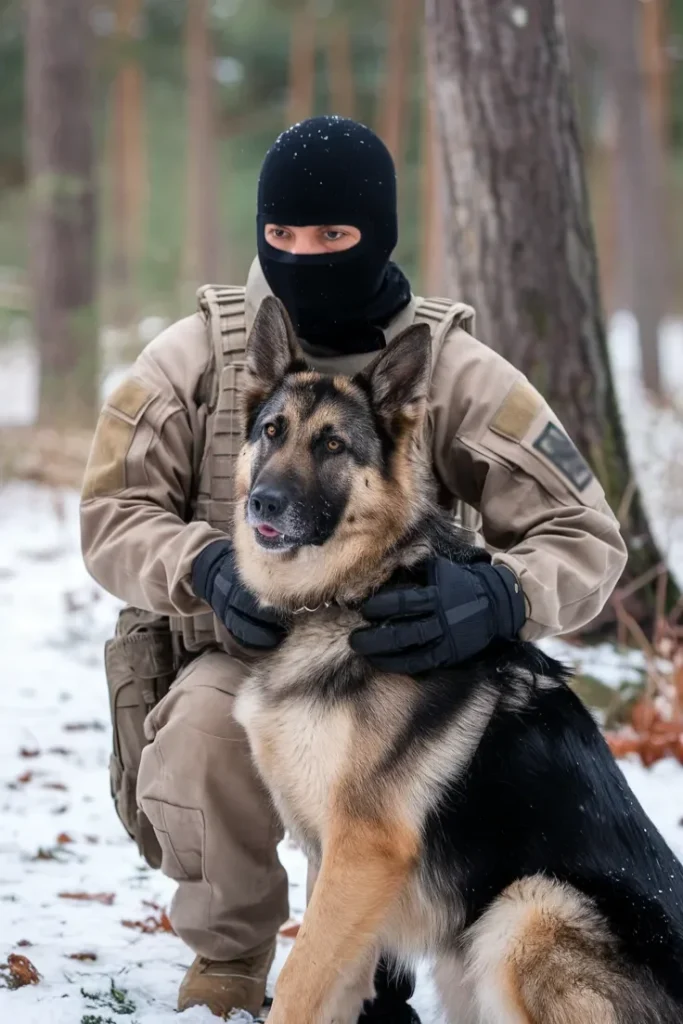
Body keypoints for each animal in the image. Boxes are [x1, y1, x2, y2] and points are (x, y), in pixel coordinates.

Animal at [232, 292, 683, 1019]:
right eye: (272, 431)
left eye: (332, 445)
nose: (262, 502)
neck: (352, 593)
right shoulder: (335, 865)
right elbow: (331, 983)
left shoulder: (363, 850)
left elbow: (300, 978)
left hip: (525, 908)